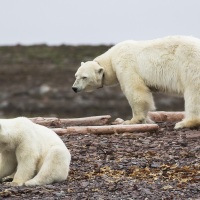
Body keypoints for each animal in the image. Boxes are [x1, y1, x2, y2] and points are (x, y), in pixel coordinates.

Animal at [72, 35, 200, 130]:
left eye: (84, 77)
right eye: (76, 76)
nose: (74, 88)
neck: (111, 59)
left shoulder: (125, 64)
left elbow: (136, 90)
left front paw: (132, 120)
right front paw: (147, 120)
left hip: (190, 64)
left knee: (193, 92)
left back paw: (184, 123)